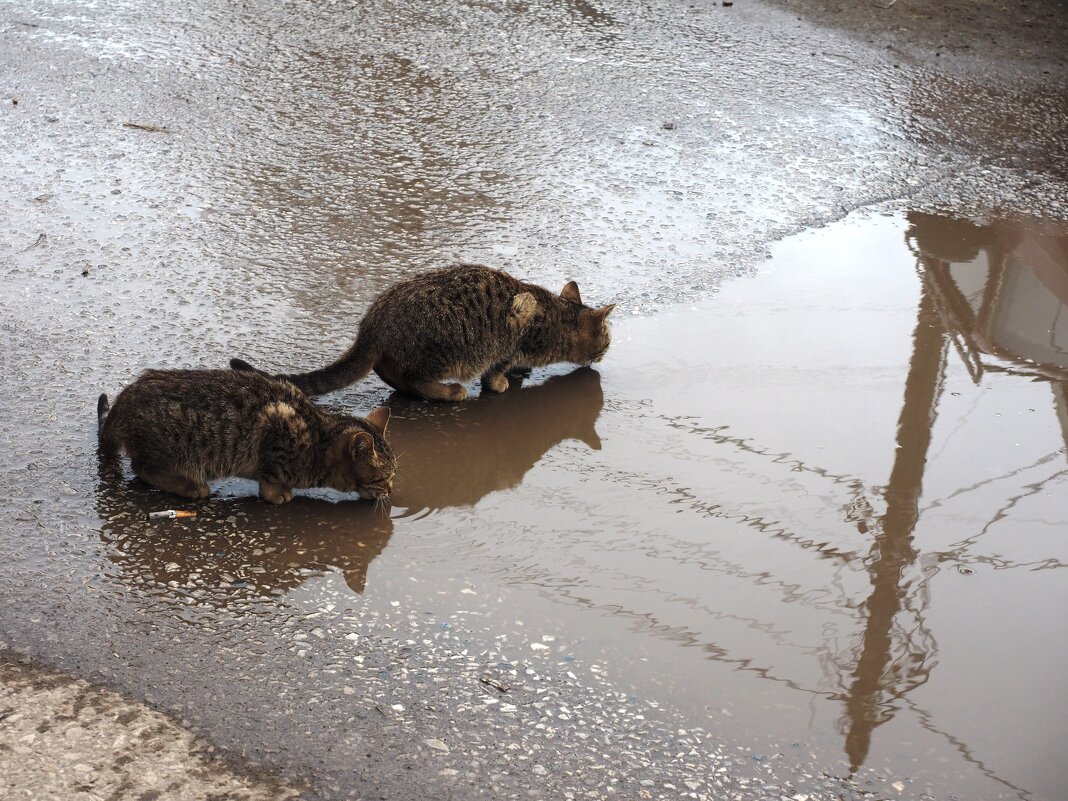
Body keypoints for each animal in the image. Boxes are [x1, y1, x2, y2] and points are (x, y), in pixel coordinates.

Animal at [97, 369, 393, 504]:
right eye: (383, 477)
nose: (390, 490)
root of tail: (124, 400)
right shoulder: (274, 427)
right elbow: (271, 475)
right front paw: (277, 493)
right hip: (170, 448)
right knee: (142, 467)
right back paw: (190, 485)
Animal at [233, 263, 619, 401]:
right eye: (608, 339)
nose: (605, 354)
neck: (554, 317)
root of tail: (374, 320)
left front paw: (519, 372)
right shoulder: (509, 340)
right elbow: (496, 370)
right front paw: (501, 381)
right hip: (445, 351)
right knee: (413, 378)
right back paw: (450, 392)